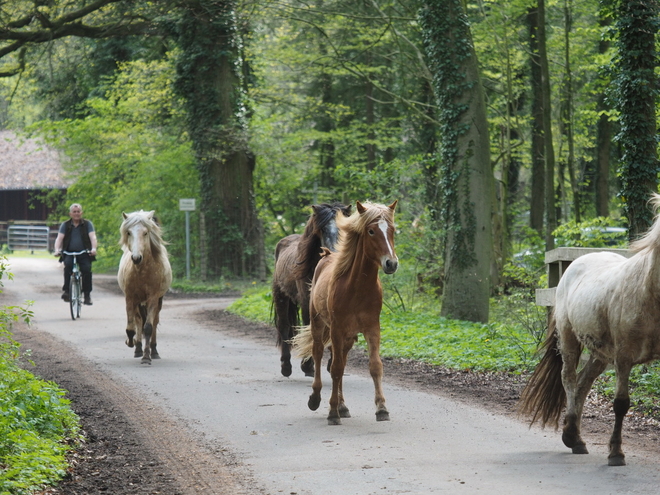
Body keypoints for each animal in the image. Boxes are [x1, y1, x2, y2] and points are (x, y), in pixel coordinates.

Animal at [118, 211, 173, 366]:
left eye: (145, 233)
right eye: (129, 232)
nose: (136, 258)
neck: (141, 270)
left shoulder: (153, 298)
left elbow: (148, 327)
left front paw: (147, 357)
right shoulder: (130, 298)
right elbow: (131, 328)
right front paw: (131, 343)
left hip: (157, 301)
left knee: (153, 322)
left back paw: (153, 351)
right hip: (138, 301)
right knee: (138, 320)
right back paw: (137, 348)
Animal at [270, 203, 350, 378]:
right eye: (324, 229)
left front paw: (332, 363)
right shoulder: (307, 303)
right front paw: (308, 365)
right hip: (281, 297)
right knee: (284, 326)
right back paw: (286, 366)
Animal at [290, 202, 398, 426]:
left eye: (392, 230)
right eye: (371, 231)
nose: (391, 263)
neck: (357, 288)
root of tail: (326, 256)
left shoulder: (372, 329)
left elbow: (375, 366)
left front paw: (382, 409)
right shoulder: (337, 330)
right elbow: (336, 369)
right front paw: (332, 412)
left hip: (348, 337)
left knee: (339, 363)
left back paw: (342, 406)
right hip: (320, 325)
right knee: (320, 355)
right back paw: (316, 398)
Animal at [520, 193, 660, 464]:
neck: (649, 291)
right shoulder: (624, 357)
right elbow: (621, 404)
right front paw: (616, 453)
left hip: (600, 352)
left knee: (583, 384)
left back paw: (573, 436)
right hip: (569, 339)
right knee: (569, 379)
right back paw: (574, 438)